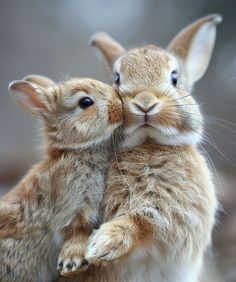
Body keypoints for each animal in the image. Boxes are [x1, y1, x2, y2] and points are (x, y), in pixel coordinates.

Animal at [0, 75, 122, 282]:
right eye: (86, 102)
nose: (120, 105)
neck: (77, 150)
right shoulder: (75, 202)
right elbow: (77, 229)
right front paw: (71, 260)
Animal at [59, 14, 221, 280]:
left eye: (174, 78)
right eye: (117, 79)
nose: (145, 103)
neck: (147, 145)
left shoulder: (171, 218)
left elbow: (142, 222)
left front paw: (102, 244)